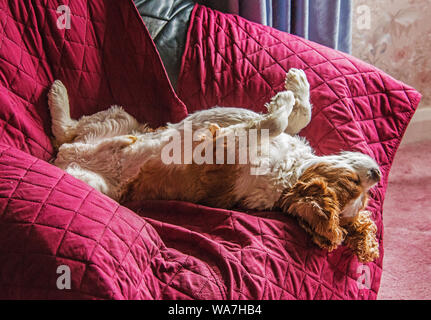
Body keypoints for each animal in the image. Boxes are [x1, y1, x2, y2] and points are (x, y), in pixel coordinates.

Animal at [48, 69, 382, 262]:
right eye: (355, 183)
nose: (377, 174)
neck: (288, 172)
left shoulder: (218, 147)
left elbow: (274, 121)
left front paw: (284, 99)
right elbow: (295, 118)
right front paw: (295, 85)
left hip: (99, 168)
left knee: (65, 137)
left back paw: (59, 100)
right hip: (119, 119)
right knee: (68, 132)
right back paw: (59, 94)